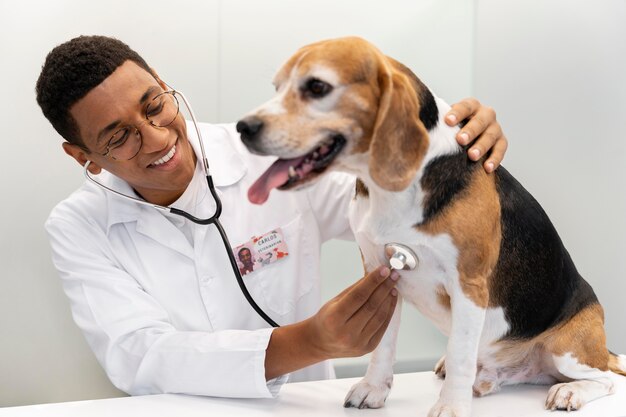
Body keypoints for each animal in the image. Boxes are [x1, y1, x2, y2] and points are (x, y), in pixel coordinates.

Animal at [235, 37, 624, 414]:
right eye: (277, 87)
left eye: (317, 86)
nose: (243, 127)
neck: (395, 187)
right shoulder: (381, 272)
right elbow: (384, 344)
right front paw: (373, 389)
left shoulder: (469, 285)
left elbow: (461, 352)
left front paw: (451, 406)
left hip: (567, 349)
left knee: (606, 380)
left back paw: (568, 391)